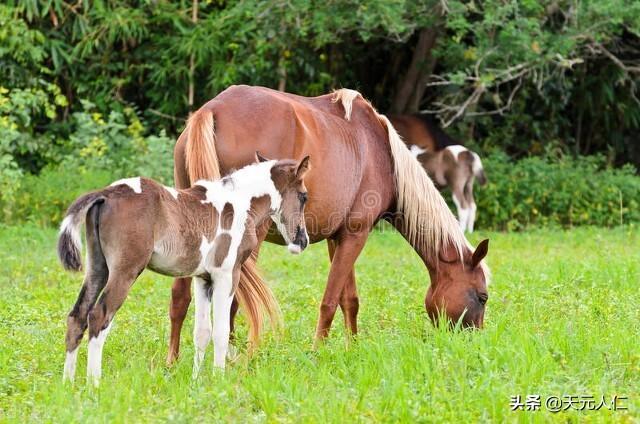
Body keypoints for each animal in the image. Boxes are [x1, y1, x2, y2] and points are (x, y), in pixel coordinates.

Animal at [58, 155, 312, 384]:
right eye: (304, 196)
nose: (302, 241)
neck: (240, 203)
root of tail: (106, 193)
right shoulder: (227, 274)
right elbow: (221, 331)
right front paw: (219, 380)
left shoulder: (203, 278)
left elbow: (202, 332)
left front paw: (196, 381)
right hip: (125, 271)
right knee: (98, 317)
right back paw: (94, 384)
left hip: (98, 268)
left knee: (77, 315)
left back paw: (68, 384)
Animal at [166, 86, 490, 364]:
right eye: (482, 297)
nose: (474, 342)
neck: (383, 153)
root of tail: (213, 109)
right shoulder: (356, 235)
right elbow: (330, 300)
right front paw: (317, 351)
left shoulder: (340, 238)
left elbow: (350, 299)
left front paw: (353, 348)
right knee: (231, 300)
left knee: (180, 296)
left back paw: (173, 361)